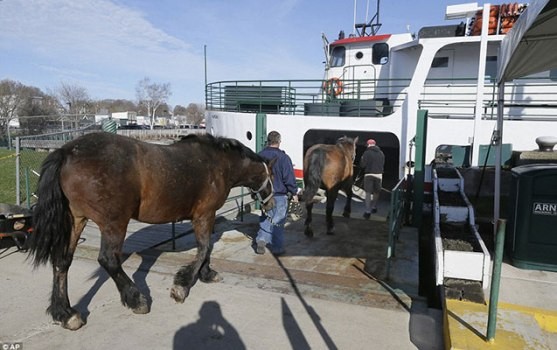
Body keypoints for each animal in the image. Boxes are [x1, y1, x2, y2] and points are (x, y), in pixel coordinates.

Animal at [28, 133, 274, 330]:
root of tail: (67, 151)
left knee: (62, 261)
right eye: (271, 176)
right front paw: (182, 286)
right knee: (108, 260)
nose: (271, 204)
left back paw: (66, 314)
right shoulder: (205, 215)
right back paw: (136, 299)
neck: (218, 163)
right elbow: (204, 248)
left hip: (76, 220)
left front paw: (206, 274)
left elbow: (207, 248)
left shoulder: (206, 217)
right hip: (114, 223)